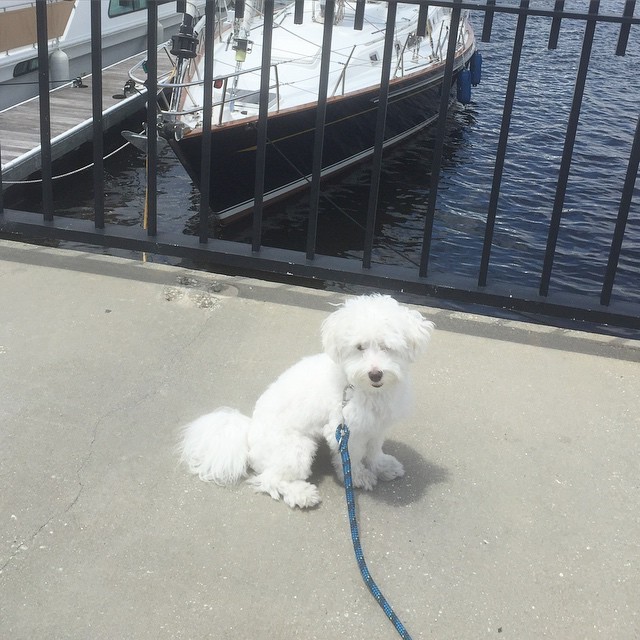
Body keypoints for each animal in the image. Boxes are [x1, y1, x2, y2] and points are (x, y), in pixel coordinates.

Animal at [178, 296, 432, 510]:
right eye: (360, 347)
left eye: (387, 347)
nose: (375, 374)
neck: (362, 388)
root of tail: (248, 434)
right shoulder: (344, 431)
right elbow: (353, 458)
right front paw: (357, 476)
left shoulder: (376, 426)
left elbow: (374, 450)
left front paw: (382, 466)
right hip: (296, 448)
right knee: (270, 479)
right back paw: (301, 494)